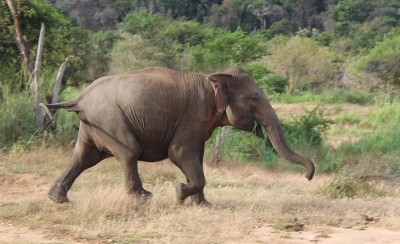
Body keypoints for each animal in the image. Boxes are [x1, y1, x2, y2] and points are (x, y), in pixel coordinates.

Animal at [44, 66, 316, 205]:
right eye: (254, 98)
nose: (308, 177)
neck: (214, 78)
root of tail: (80, 98)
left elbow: (196, 157)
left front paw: (203, 205)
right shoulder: (193, 114)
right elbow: (180, 154)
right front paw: (179, 192)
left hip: (95, 122)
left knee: (84, 158)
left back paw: (59, 199)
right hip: (109, 119)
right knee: (129, 151)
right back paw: (144, 198)